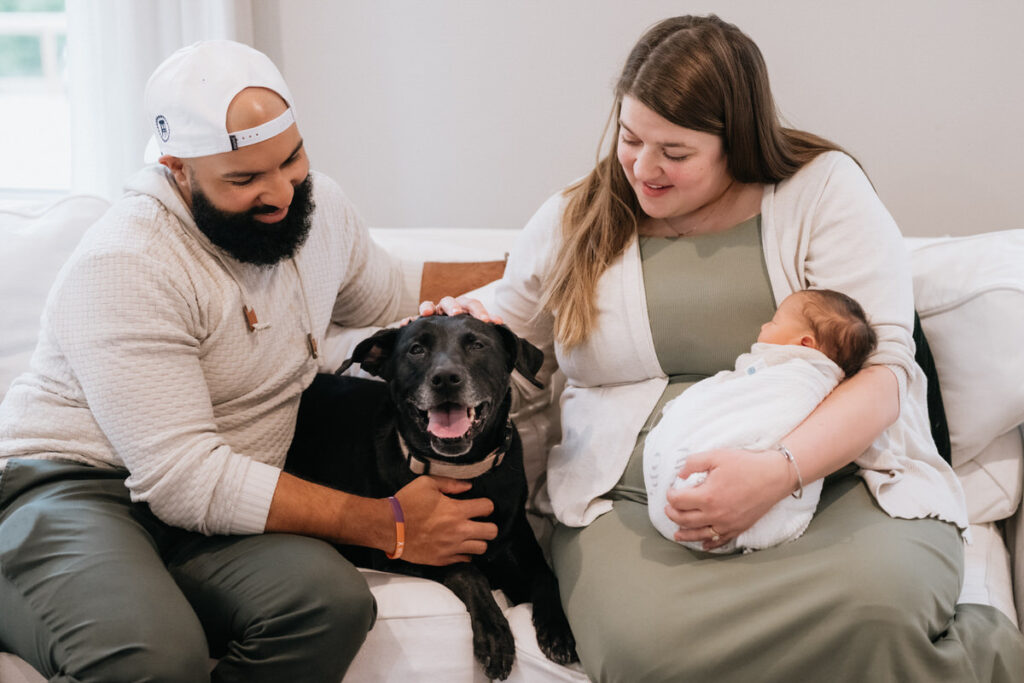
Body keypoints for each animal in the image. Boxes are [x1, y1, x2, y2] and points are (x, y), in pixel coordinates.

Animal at [284, 313, 581, 679]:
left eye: (477, 345)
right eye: (416, 349)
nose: (445, 379)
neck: (462, 471)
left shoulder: (518, 548)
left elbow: (546, 577)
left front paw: (558, 629)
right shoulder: (402, 556)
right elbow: (466, 570)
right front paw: (495, 634)